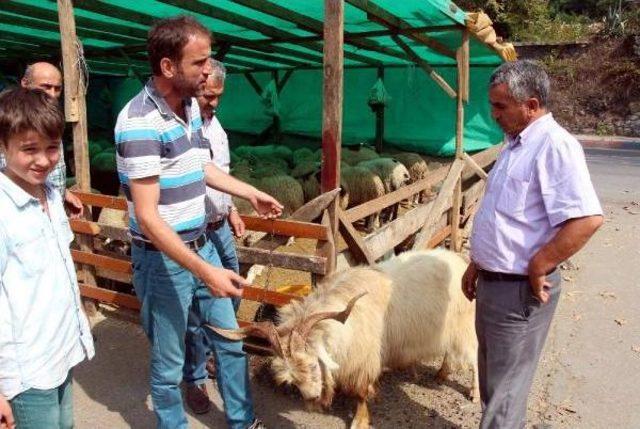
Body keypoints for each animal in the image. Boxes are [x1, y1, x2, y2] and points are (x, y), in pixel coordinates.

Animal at [211, 247, 480, 428]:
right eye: (291, 379)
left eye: (312, 365)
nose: (311, 398)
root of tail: (459, 259)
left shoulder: (363, 360)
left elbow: (360, 393)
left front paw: (359, 420)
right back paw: (441, 373)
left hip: (466, 325)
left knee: (475, 357)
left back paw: (474, 393)